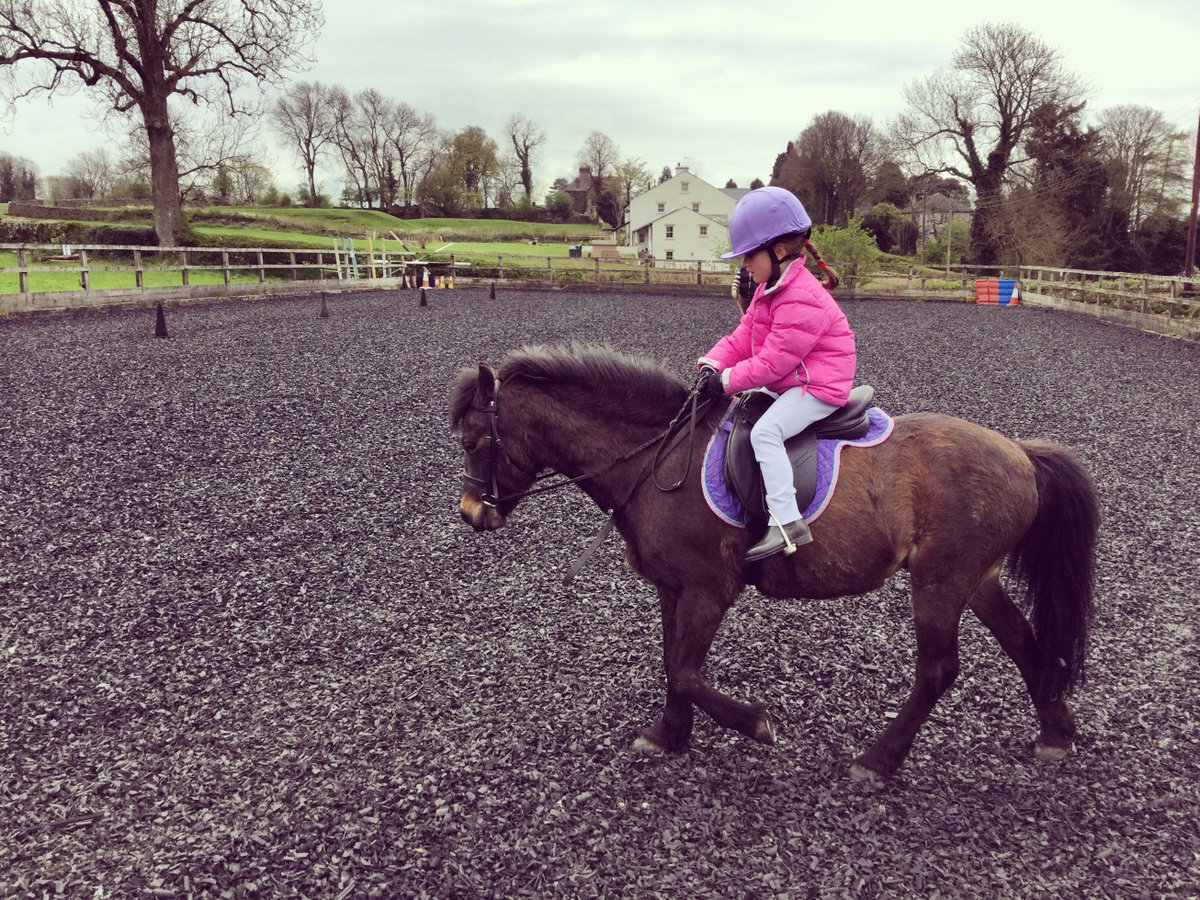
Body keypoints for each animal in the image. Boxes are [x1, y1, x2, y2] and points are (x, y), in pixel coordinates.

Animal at [448, 345, 1099, 782]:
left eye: (474, 440)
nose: (471, 514)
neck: (658, 459)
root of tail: (1021, 453)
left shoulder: (709, 588)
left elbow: (687, 671)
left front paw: (755, 724)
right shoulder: (672, 587)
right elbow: (673, 665)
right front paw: (670, 735)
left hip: (940, 582)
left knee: (939, 671)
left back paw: (878, 759)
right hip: (976, 580)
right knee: (1027, 645)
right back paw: (1056, 734)